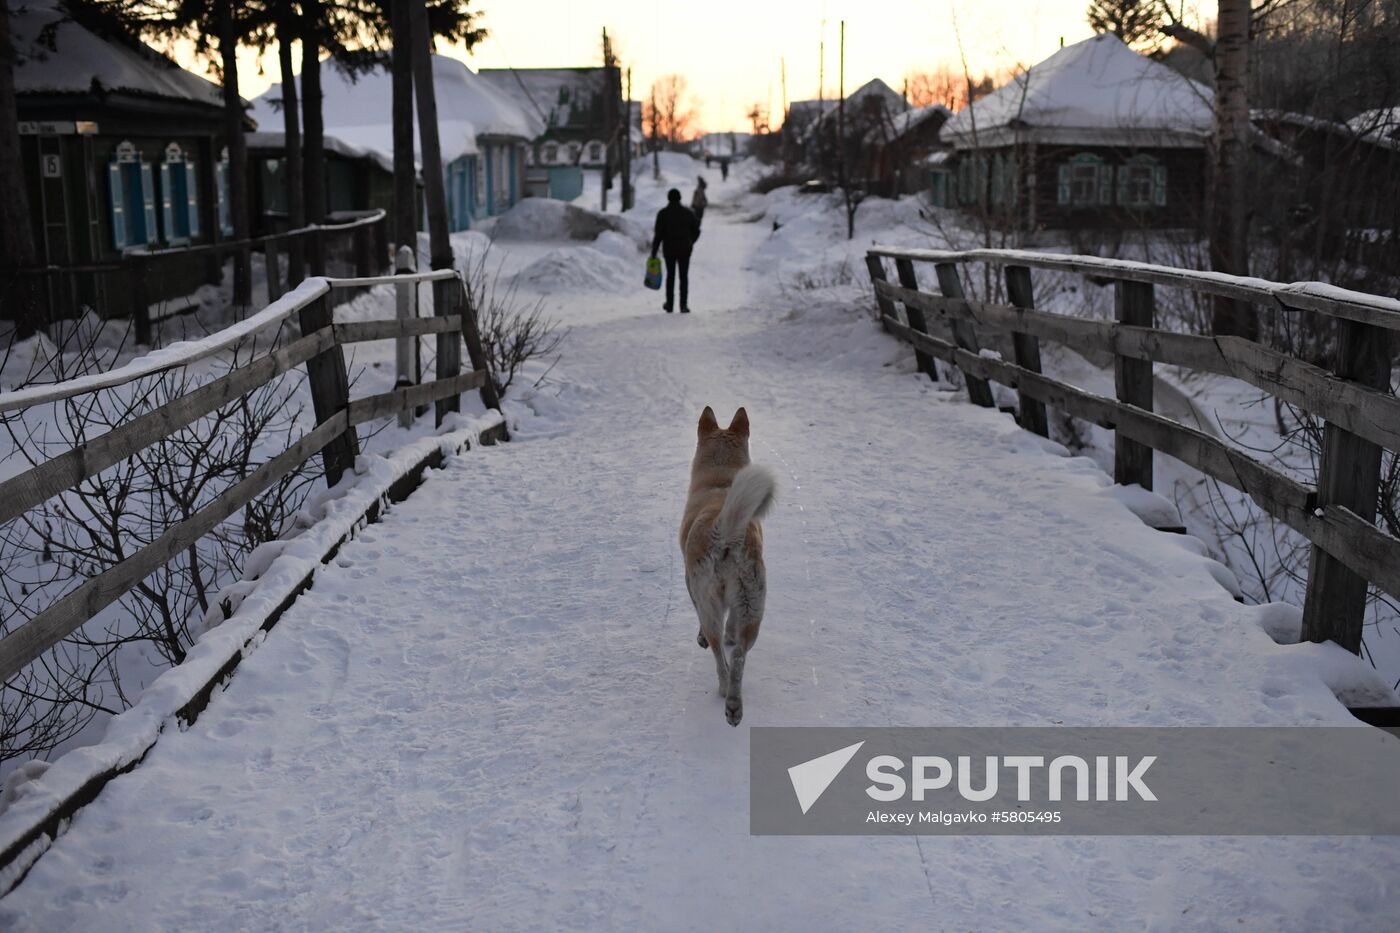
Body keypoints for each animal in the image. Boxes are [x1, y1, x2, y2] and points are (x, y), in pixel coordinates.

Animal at [677, 403, 778, 722]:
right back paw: (734, 706)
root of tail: (725, 533)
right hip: (753, 603)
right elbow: (732, 628)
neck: (721, 482)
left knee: (719, 654)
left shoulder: (690, 585)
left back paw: (724, 693)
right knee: (739, 655)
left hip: (711, 602)